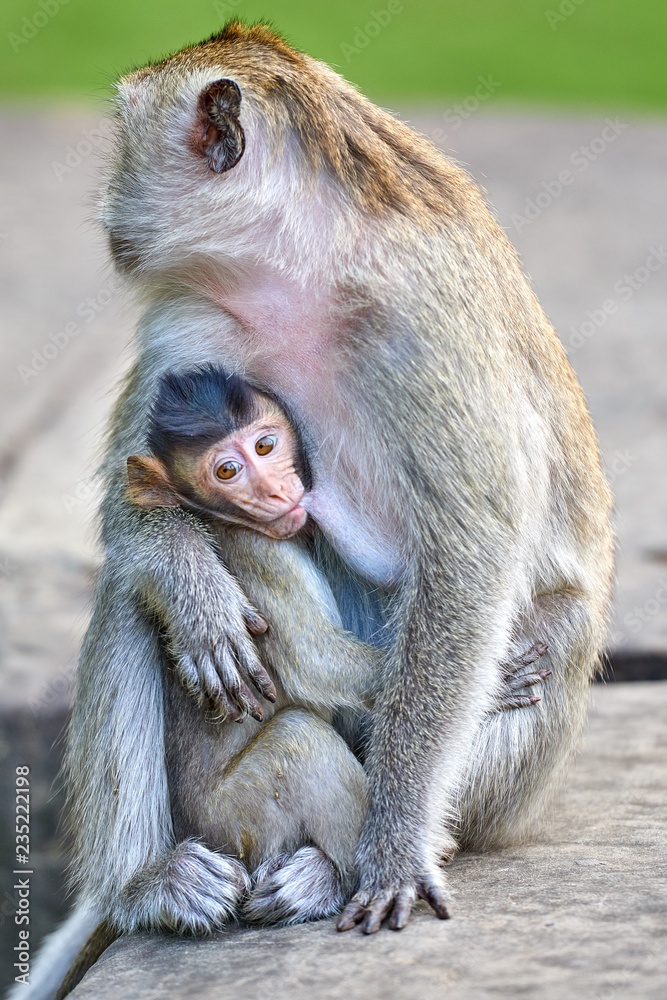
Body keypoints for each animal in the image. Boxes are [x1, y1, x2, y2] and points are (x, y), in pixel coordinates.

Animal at [11, 18, 614, 999]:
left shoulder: (424, 330)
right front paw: (195, 591)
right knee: (130, 598)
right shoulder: (194, 319)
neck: (304, 265)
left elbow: (470, 558)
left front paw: (395, 846)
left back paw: (335, 869)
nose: (108, 213)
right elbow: (136, 503)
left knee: (541, 635)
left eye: (123, 142)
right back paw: (146, 884)